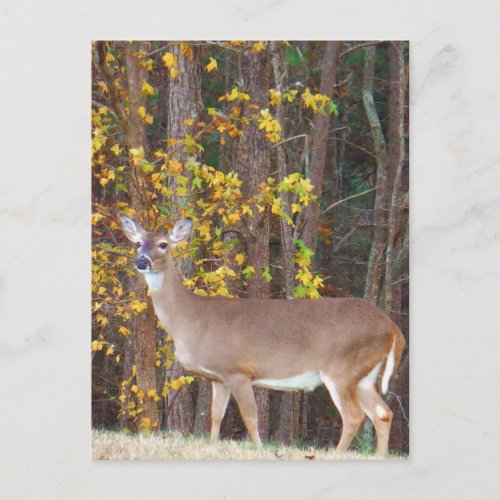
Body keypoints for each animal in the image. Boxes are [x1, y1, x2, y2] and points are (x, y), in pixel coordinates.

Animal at [120, 215, 406, 458]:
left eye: (163, 244)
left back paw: (337, 454)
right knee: (383, 413)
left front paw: (258, 449)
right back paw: (379, 456)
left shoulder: (238, 370)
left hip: (342, 369)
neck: (190, 319)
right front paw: (212, 446)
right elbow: (215, 415)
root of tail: (393, 328)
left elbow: (250, 415)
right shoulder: (218, 376)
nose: (142, 262)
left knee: (354, 415)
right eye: (138, 243)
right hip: (364, 375)